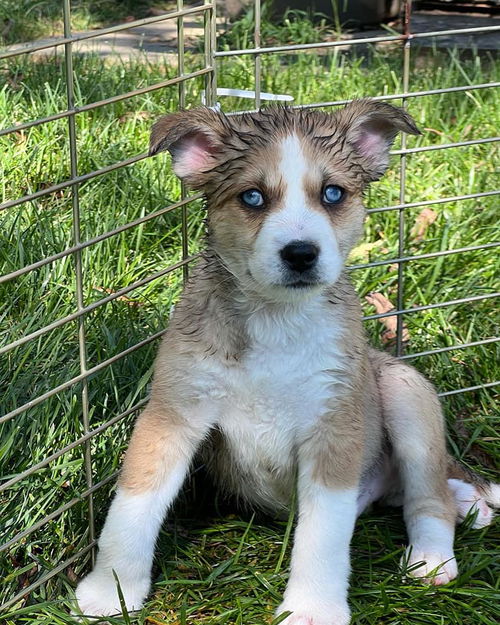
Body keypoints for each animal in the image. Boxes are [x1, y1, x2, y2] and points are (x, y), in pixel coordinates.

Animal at [75, 100, 500, 620]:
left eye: (333, 193)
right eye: (253, 197)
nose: (301, 254)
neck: (276, 318)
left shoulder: (333, 429)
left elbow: (323, 535)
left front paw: (313, 608)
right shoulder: (173, 413)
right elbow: (134, 504)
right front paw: (110, 590)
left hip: (406, 393)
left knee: (429, 494)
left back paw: (433, 557)